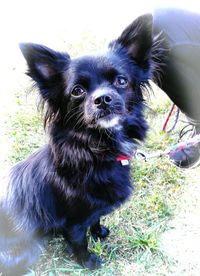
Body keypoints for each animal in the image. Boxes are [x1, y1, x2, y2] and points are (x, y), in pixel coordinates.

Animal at [0, 13, 159, 274]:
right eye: (77, 91)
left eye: (121, 81)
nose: (102, 99)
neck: (95, 149)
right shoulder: (73, 221)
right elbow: (79, 242)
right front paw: (89, 262)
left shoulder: (92, 212)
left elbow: (96, 219)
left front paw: (99, 231)